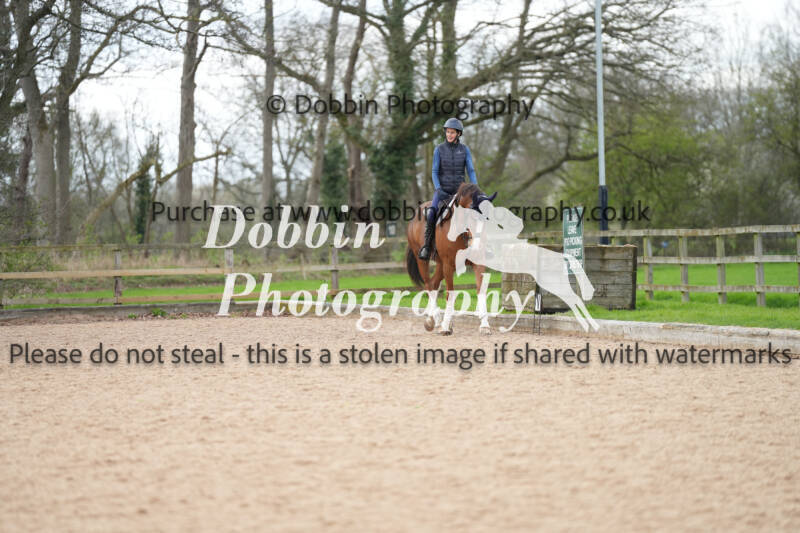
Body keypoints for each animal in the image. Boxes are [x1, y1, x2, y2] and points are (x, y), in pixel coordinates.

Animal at [406, 183, 497, 335]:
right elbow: (450, 294)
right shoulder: (448, 265)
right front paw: (445, 327)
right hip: (423, 261)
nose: (477, 245)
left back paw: (434, 320)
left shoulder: (478, 263)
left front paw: (484, 326)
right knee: (429, 285)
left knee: (434, 284)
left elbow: (481, 291)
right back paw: (435, 320)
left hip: (440, 264)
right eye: (471, 217)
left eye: (488, 218)